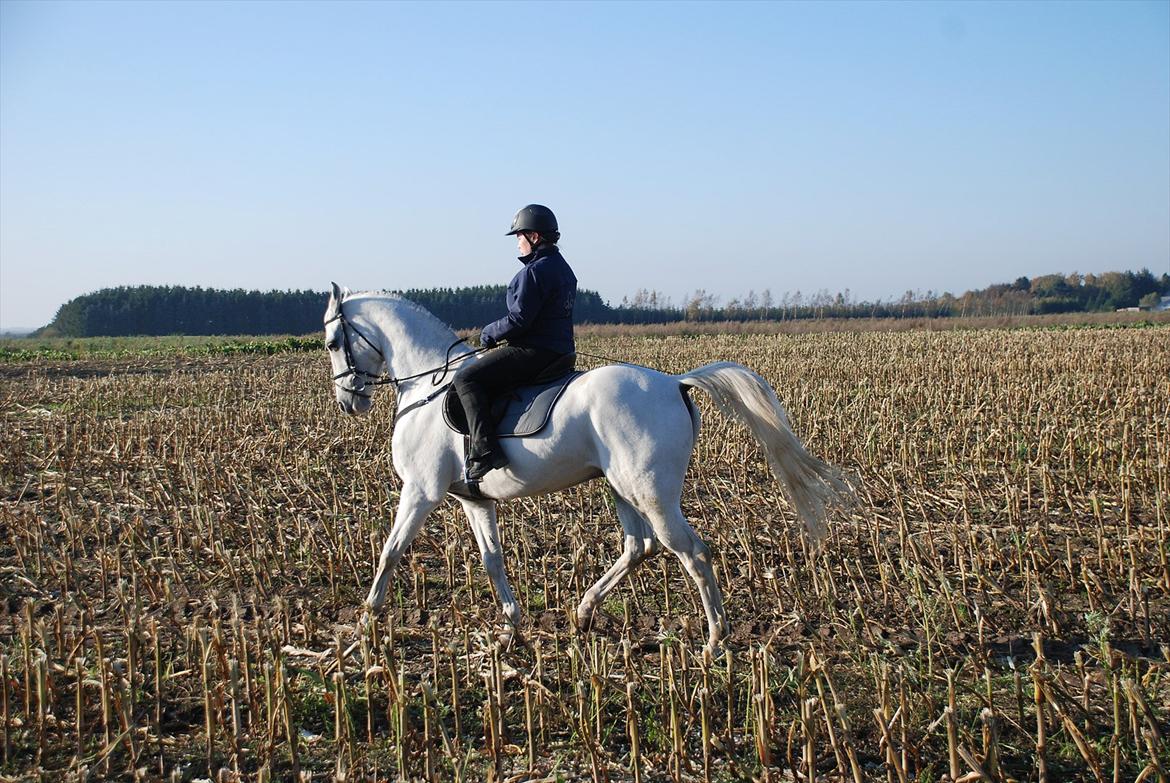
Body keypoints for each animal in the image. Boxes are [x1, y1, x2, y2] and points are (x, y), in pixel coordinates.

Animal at [325, 284, 856, 650]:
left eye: (331, 341)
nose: (348, 402)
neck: (428, 384)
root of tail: (675, 383)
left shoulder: (421, 490)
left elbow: (390, 552)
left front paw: (365, 624)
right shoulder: (473, 500)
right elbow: (493, 560)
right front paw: (511, 630)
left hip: (651, 493)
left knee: (691, 552)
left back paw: (712, 642)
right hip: (621, 488)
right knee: (639, 546)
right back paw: (583, 612)